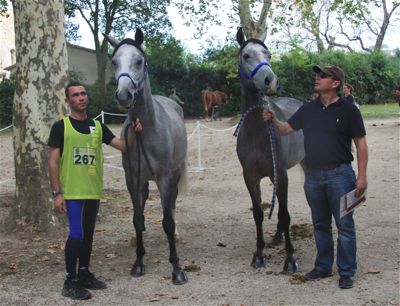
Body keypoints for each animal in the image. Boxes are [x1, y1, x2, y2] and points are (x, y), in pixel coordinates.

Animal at [104, 28, 189, 284]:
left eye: (139, 61)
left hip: (174, 175)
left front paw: (176, 267)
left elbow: (167, 222)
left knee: (171, 206)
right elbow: (137, 219)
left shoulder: (165, 178)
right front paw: (139, 262)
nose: (124, 95)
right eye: (114, 61)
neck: (147, 128)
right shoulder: (132, 179)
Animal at [236, 28, 304, 272]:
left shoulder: (281, 174)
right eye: (246, 55)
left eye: (269, 54)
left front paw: (290, 259)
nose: (270, 81)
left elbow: (284, 213)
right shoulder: (250, 177)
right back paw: (277, 236)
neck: (258, 130)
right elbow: (258, 214)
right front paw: (258, 254)